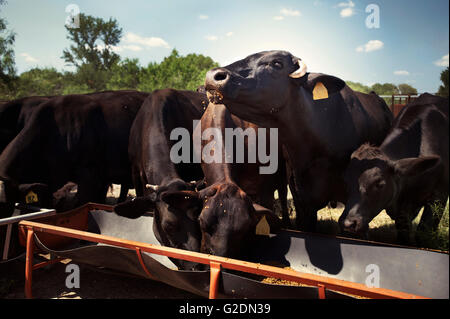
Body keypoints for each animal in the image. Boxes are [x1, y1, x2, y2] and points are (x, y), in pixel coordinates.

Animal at [340, 94, 448, 245]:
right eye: (346, 182)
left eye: (380, 184)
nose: (348, 223)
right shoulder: (403, 211)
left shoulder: (439, 196)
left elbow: (423, 233)